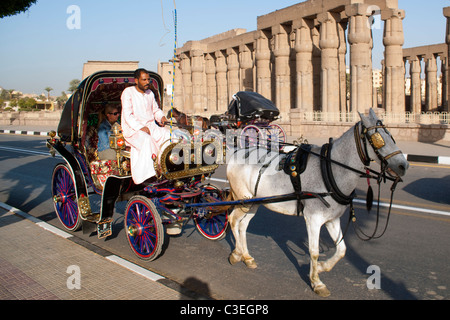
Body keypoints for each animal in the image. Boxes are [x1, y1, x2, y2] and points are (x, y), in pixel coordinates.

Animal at [227, 109, 410, 296]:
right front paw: (317, 282)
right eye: (377, 138)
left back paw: (246, 257)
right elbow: (314, 251)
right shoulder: (313, 219)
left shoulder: (332, 219)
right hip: (244, 200)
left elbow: (342, 250)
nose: (403, 165)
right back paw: (237, 253)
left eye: (391, 135)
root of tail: (236, 153)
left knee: (243, 226)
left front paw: (322, 267)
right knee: (233, 220)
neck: (330, 169)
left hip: (253, 203)